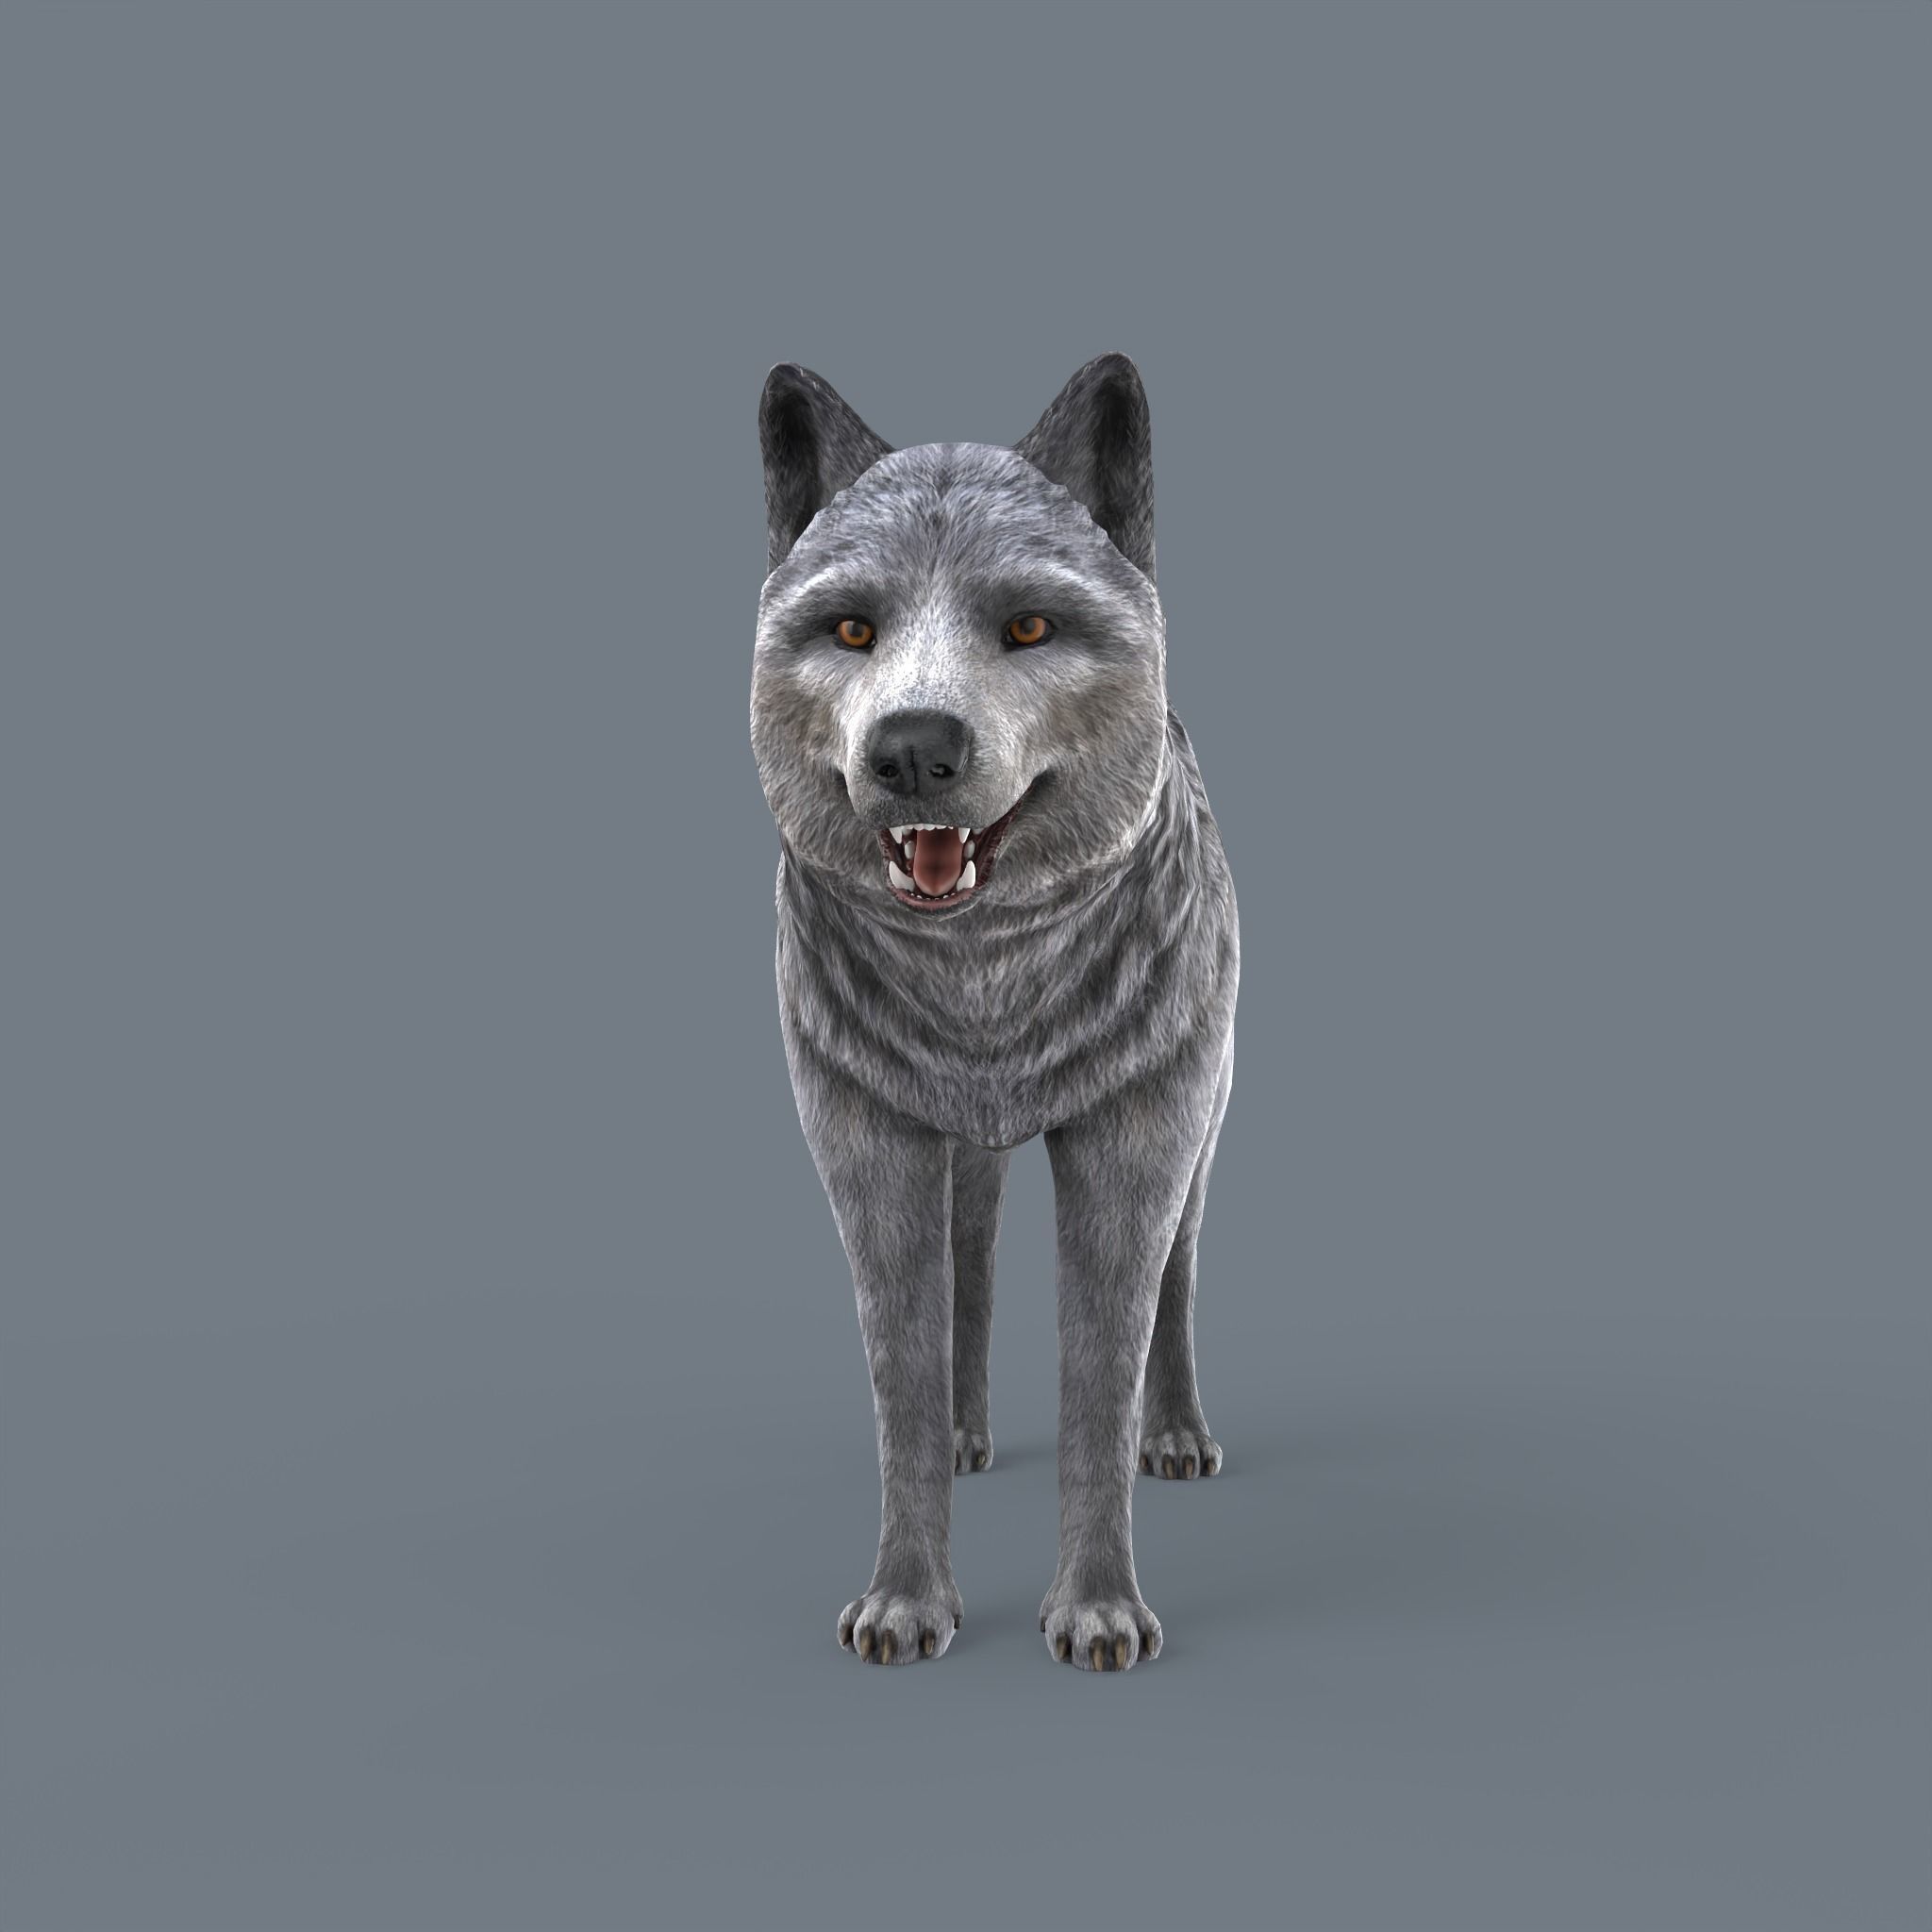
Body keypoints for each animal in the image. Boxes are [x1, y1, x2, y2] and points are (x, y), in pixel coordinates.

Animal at [749, 353, 1238, 1671]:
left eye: (1026, 625)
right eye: (851, 627)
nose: (912, 749)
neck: (984, 986)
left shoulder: (1133, 1136)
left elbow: (1101, 1368)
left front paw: (1098, 1611)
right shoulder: (864, 1140)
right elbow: (903, 1377)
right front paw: (904, 1602)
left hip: (1205, 1118)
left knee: (1180, 1275)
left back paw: (1176, 1435)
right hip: (960, 1151)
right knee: (968, 1258)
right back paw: (972, 1432)